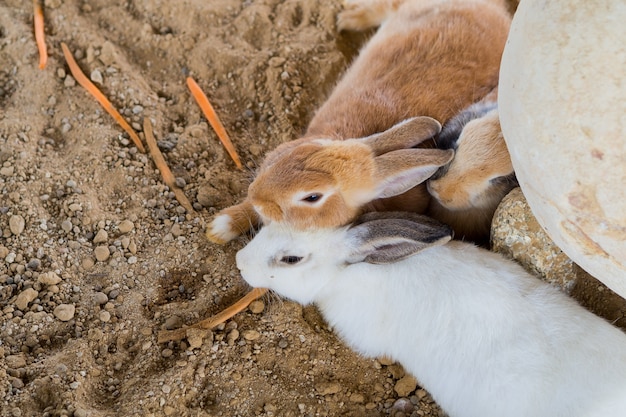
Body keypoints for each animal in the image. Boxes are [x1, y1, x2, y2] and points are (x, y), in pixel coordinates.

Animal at [207, 0, 510, 244]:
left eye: (312, 197)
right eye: (292, 154)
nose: (256, 193)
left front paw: (220, 227)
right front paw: (221, 226)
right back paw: (347, 18)